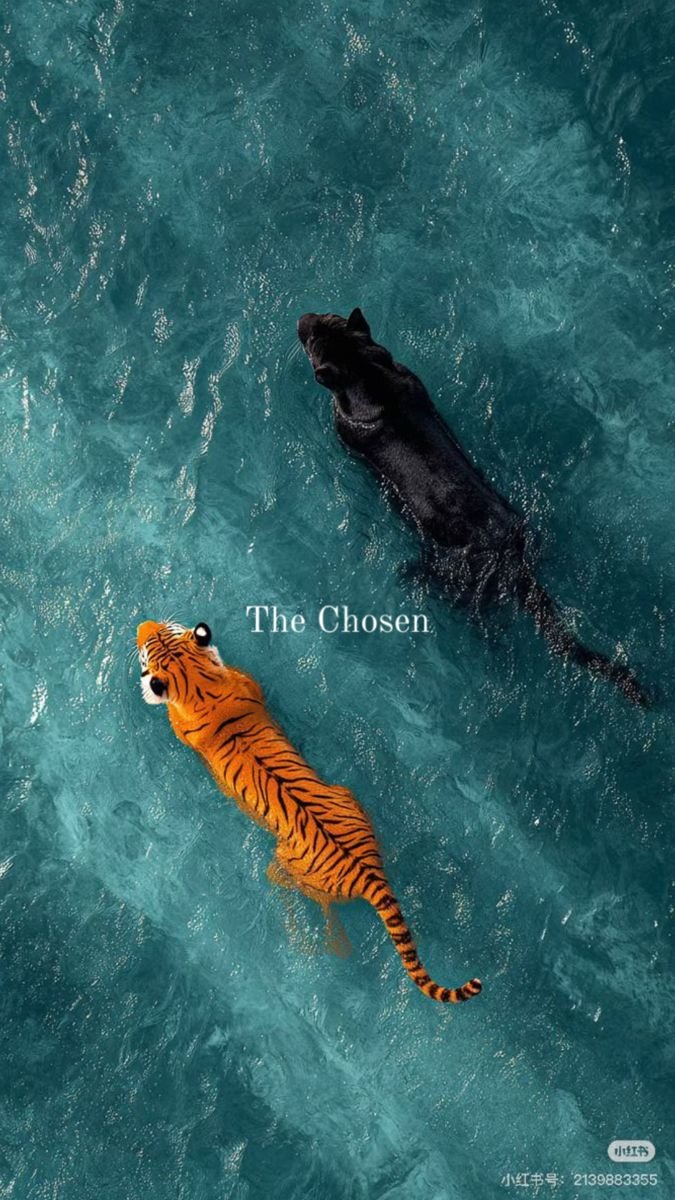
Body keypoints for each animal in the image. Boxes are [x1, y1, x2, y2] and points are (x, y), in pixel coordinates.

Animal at [137, 618, 482, 1005]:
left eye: (150, 643)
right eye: (160, 635)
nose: (143, 624)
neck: (201, 686)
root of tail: (369, 874)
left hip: (287, 863)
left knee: (301, 894)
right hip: (346, 795)